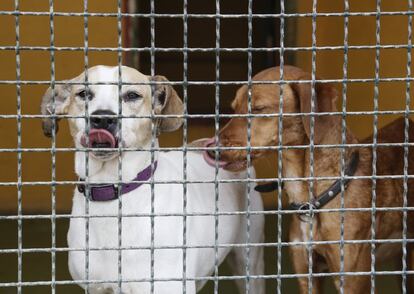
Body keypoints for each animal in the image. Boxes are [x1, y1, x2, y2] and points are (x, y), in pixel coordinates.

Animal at [39, 65, 266, 292]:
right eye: (84, 94)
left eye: (132, 95)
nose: (102, 118)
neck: (113, 190)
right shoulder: (96, 288)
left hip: (248, 262)